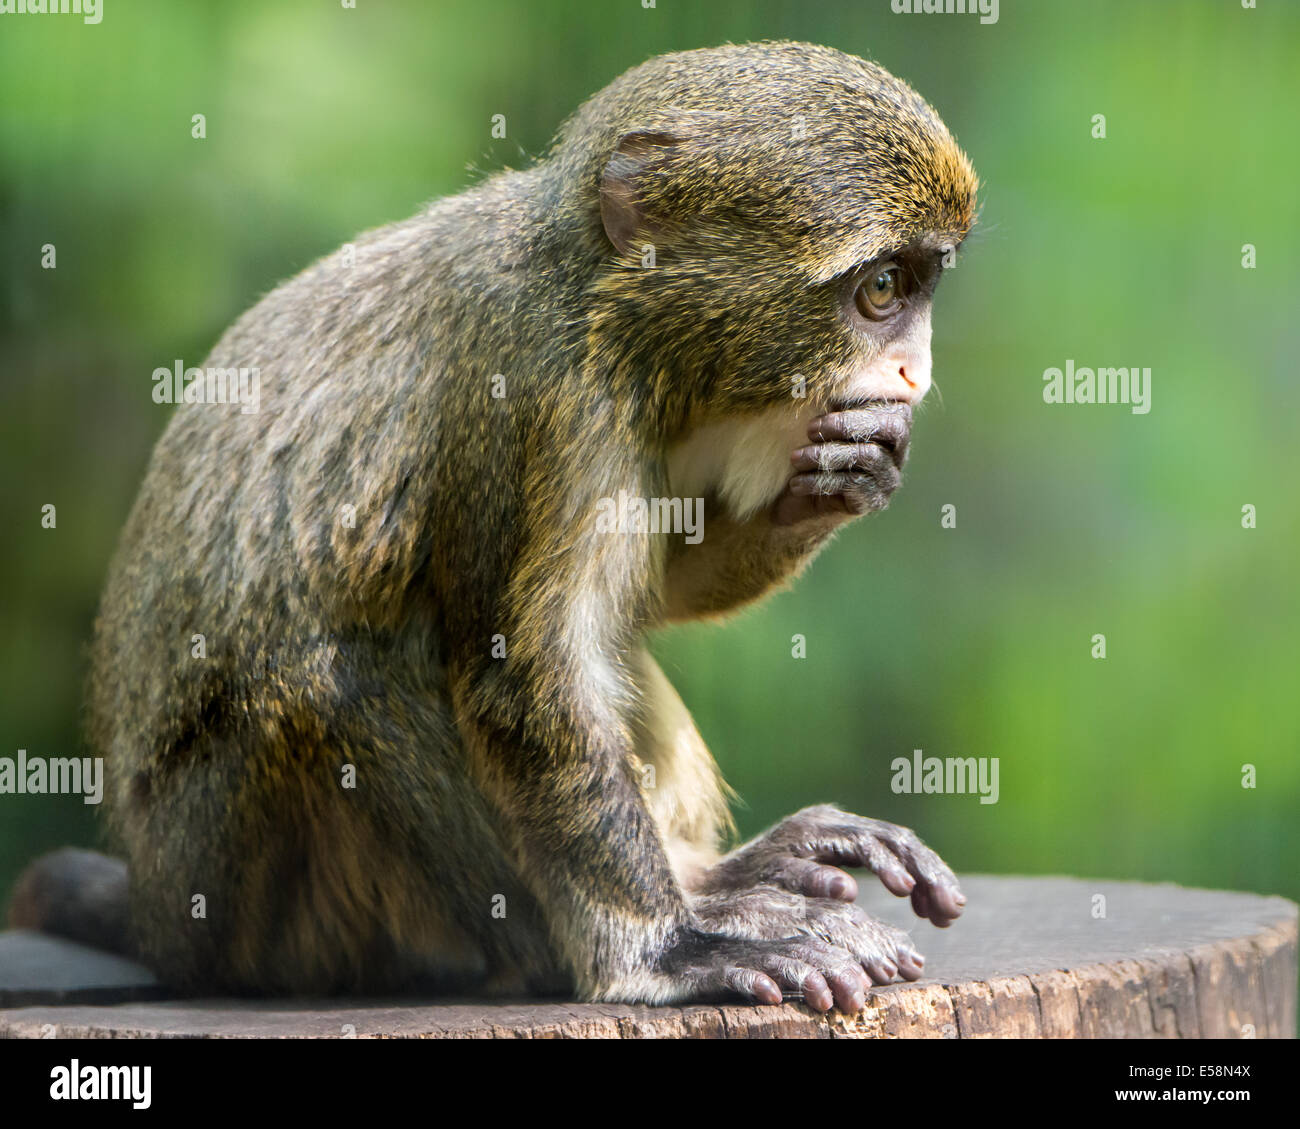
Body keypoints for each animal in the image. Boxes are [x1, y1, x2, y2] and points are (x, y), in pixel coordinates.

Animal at [10, 44, 977, 1014]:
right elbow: (524, 670)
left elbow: (653, 595)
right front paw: (668, 948)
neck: (611, 314)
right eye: (881, 289)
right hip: (252, 895)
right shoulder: (533, 381)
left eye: (919, 286)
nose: (918, 374)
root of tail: (159, 915)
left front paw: (839, 480)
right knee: (332, 677)